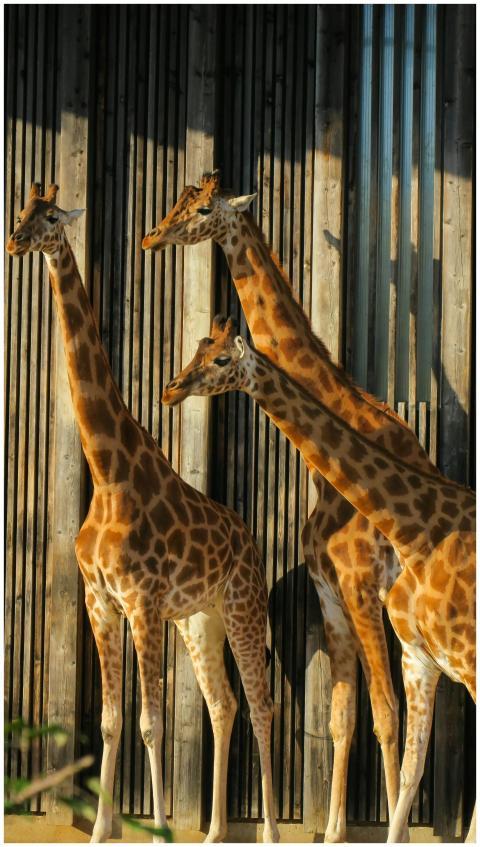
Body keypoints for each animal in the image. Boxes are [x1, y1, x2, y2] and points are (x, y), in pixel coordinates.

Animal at [6, 185, 280, 845]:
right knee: (223, 704)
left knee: (261, 705)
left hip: (242, 606)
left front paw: (155, 826)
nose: (15, 241)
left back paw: (268, 830)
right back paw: (214, 830)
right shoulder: (100, 601)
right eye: (21, 211)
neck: (108, 473)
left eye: (48, 217)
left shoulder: (143, 602)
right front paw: (103, 829)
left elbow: (151, 721)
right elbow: (109, 720)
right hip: (201, 619)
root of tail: (250, 538)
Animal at [141, 171, 445, 841]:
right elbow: (342, 717)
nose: (150, 238)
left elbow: (385, 715)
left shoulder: (364, 590)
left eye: (202, 208)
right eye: (177, 199)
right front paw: (333, 830)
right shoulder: (332, 592)